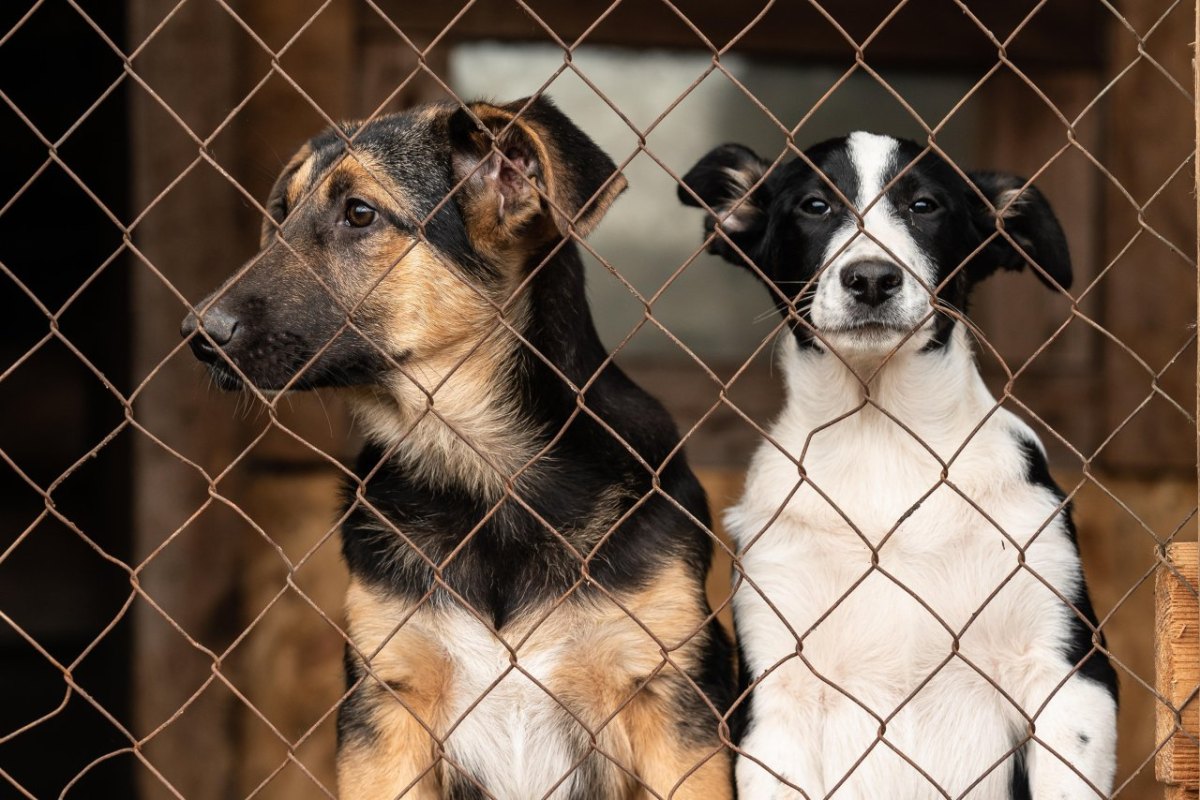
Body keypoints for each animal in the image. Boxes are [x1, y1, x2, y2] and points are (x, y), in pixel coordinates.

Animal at [182, 97, 734, 796]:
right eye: (280, 214)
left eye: (359, 213)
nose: (197, 334)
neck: (482, 470)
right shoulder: (385, 703)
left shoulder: (670, 693)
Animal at [681, 134, 1118, 796]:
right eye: (814, 205)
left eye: (924, 205)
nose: (871, 279)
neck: (881, 435)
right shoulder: (775, 696)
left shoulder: (1069, 674)